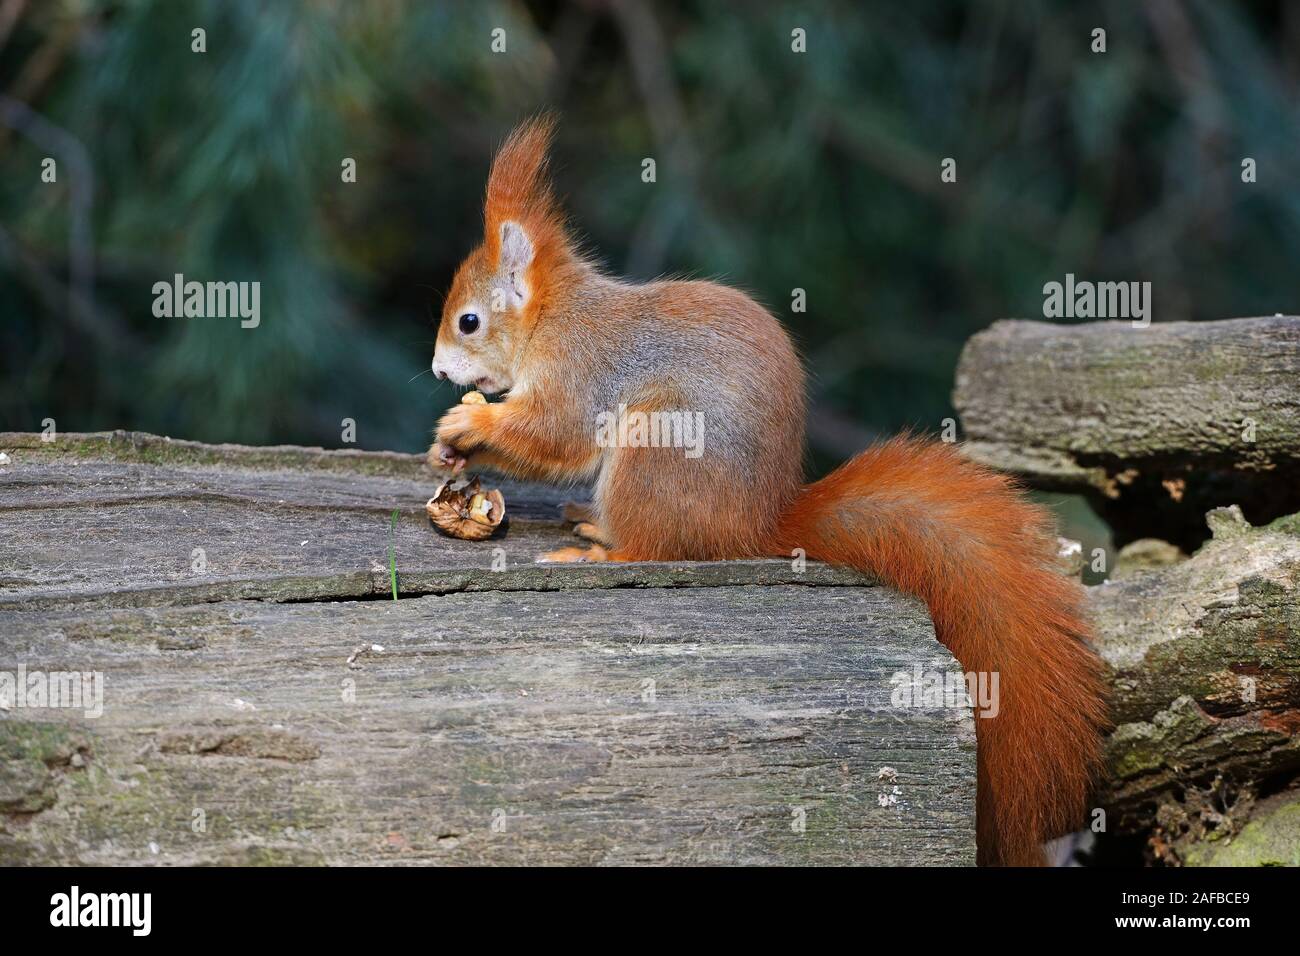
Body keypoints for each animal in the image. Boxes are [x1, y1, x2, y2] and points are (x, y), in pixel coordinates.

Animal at [426, 115, 1107, 863]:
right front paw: (448, 444)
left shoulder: (580, 374)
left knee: (655, 548)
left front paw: (469, 423)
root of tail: (758, 526)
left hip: (658, 448)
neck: (553, 317)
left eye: (468, 321)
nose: (437, 371)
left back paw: (599, 550)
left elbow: (553, 435)